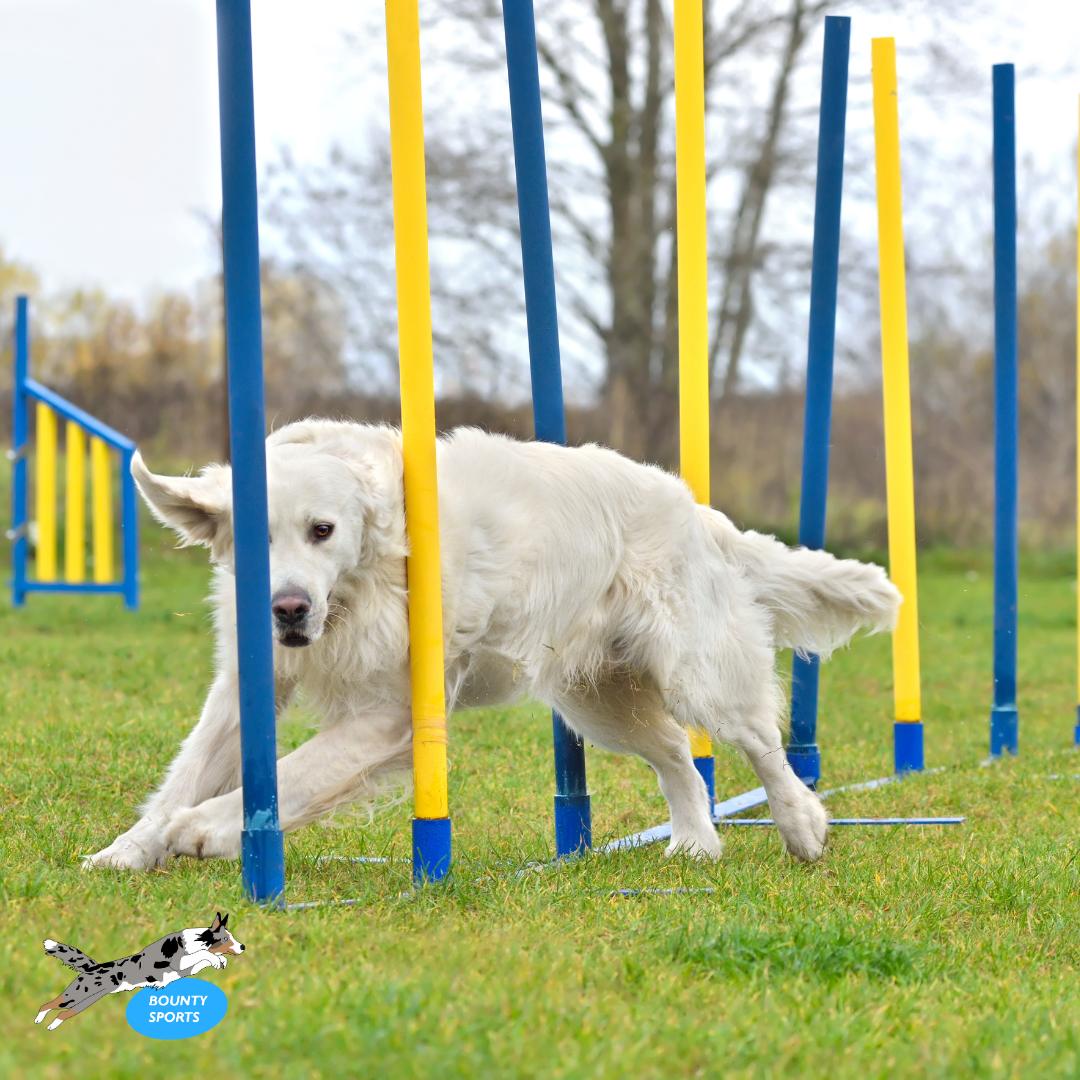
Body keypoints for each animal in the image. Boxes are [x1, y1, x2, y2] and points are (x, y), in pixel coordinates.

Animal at [84, 416, 898, 872]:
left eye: (323, 529)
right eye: (256, 538)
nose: (287, 609)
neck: (360, 588)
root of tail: (697, 510)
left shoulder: (394, 712)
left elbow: (294, 775)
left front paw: (204, 832)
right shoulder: (246, 688)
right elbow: (187, 775)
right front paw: (129, 850)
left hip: (697, 674)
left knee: (761, 743)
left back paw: (801, 825)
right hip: (598, 698)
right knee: (676, 754)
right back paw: (696, 842)